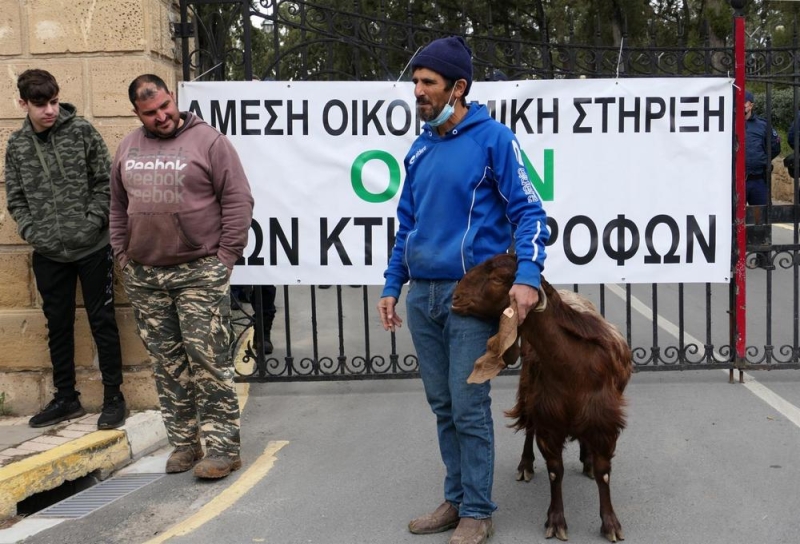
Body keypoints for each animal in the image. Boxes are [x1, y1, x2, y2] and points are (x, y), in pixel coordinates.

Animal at [450, 253, 632, 540]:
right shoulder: (549, 419)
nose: (455, 298)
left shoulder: (603, 422)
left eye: (498, 278)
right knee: (528, 427)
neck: (574, 366)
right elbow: (555, 471)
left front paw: (611, 524)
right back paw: (526, 465)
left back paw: (587, 460)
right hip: (529, 390)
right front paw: (556, 522)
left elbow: (604, 474)